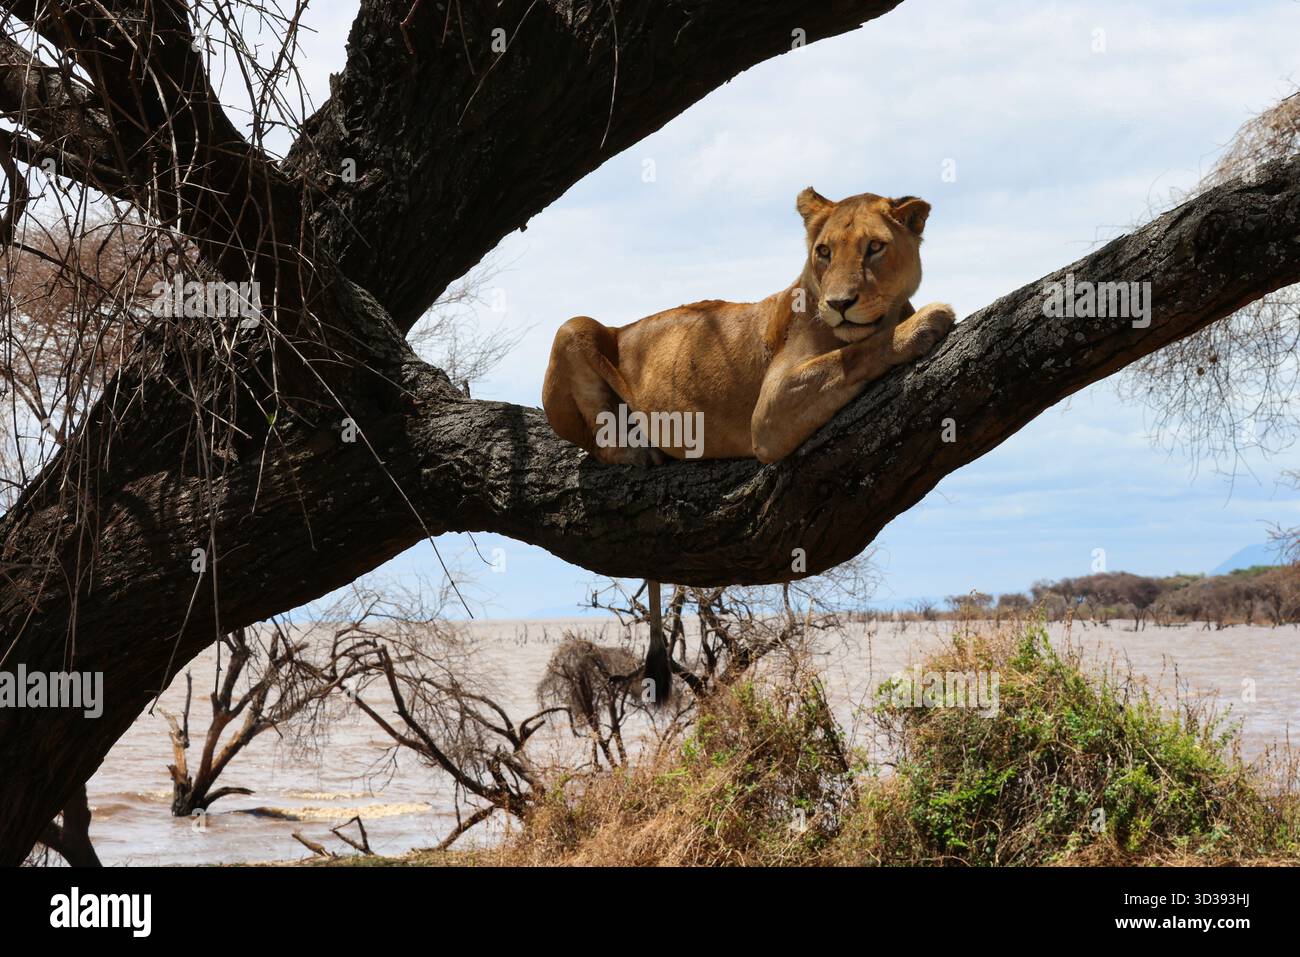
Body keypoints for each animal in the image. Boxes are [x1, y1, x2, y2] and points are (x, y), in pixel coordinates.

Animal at [541, 187, 956, 466]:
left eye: (874, 247)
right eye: (824, 252)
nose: (839, 304)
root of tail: (623, 327)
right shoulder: (770, 412)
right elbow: (854, 353)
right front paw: (923, 323)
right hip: (572, 327)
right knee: (598, 441)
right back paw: (638, 448)